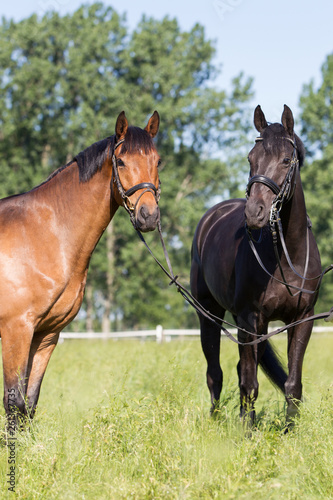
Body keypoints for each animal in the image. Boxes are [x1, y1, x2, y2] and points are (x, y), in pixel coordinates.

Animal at [0, 110, 160, 422]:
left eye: (157, 160)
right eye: (121, 161)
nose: (148, 216)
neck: (46, 234)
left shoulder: (46, 335)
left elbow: (30, 404)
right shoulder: (16, 331)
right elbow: (14, 405)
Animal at [191, 105, 320, 426]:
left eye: (286, 160)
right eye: (251, 158)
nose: (254, 213)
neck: (286, 255)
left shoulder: (302, 319)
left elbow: (292, 383)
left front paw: (289, 431)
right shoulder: (250, 318)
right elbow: (249, 384)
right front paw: (248, 433)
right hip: (210, 314)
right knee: (216, 373)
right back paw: (216, 421)